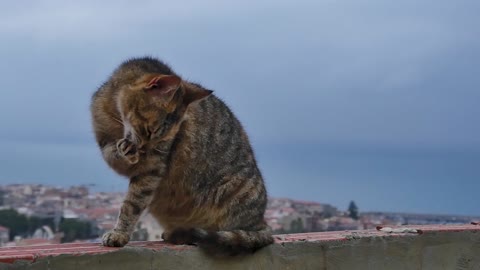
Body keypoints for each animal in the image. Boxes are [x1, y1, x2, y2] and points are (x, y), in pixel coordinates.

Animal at [90, 57, 274, 255]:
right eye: (149, 131)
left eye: (161, 138)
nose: (145, 151)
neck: (114, 114)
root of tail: (262, 223)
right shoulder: (105, 142)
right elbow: (112, 153)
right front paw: (125, 150)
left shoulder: (152, 168)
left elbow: (131, 204)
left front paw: (119, 234)